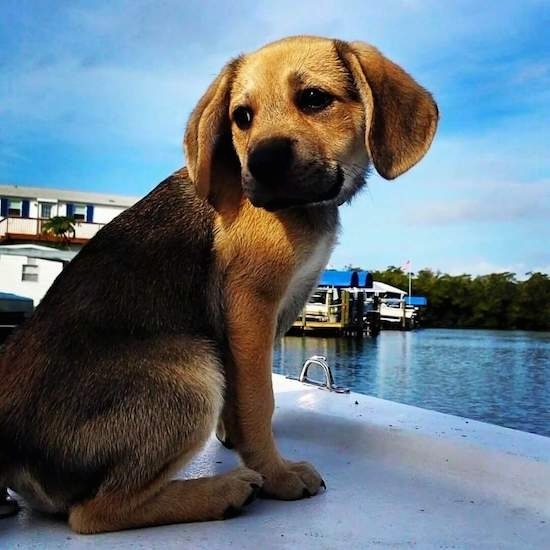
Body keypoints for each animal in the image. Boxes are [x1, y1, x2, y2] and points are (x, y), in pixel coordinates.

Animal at [0, 35, 440, 536]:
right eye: (241, 117)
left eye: (314, 99)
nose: (262, 162)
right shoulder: (251, 304)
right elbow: (259, 399)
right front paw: (277, 475)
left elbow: (244, 397)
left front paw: (237, 441)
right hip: (191, 370)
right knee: (93, 514)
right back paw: (224, 492)